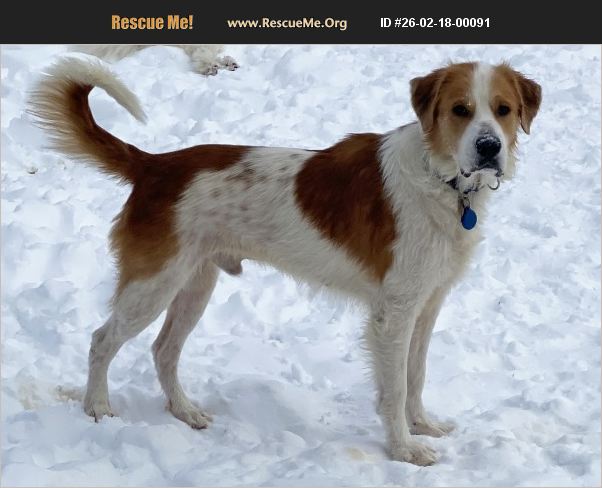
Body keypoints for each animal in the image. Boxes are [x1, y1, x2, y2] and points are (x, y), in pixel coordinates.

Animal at [28, 57, 540, 465]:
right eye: (460, 110)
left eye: (503, 110)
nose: (489, 148)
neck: (443, 180)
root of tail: (155, 166)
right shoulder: (393, 314)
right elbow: (394, 388)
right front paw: (403, 450)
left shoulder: (427, 304)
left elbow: (416, 376)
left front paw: (422, 426)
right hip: (153, 284)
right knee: (102, 340)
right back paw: (97, 407)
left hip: (195, 284)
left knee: (163, 350)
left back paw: (184, 411)